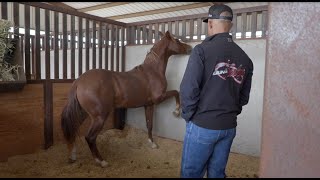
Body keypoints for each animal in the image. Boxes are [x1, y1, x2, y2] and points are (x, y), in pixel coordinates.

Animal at [60, 30, 192, 167]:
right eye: (177, 40)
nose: (190, 48)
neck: (152, 71)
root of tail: (79, 82)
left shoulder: (149, 105)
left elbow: (149, 124)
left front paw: (152, 143)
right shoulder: (159, 98)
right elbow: (176, 92)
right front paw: (176, 111)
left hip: (83, 113)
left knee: (73, 129)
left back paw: (73, 156)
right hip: (99, 117)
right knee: (90, 137)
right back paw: (101, 161)